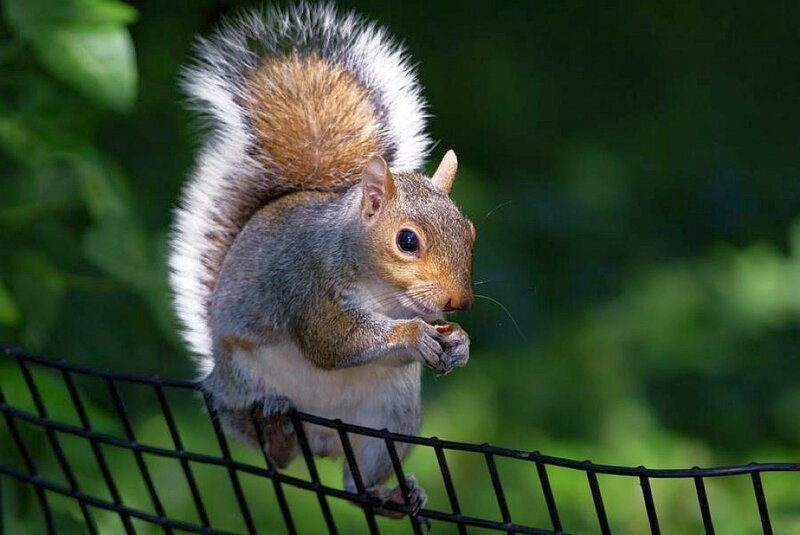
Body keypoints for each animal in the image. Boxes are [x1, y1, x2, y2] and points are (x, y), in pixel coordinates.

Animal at [169, 2, 474, 517]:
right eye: (407, 241)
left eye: (470, 232)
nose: (459, 303)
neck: (383, 292)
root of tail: (323, 439)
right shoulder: (308, 286)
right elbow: (335, 341)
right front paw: (414, 336)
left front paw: (461, 343)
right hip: (241, 386)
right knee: (273, 451)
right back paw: (276, 428)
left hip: (389, 419)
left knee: (357, 483)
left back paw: (394, 496)